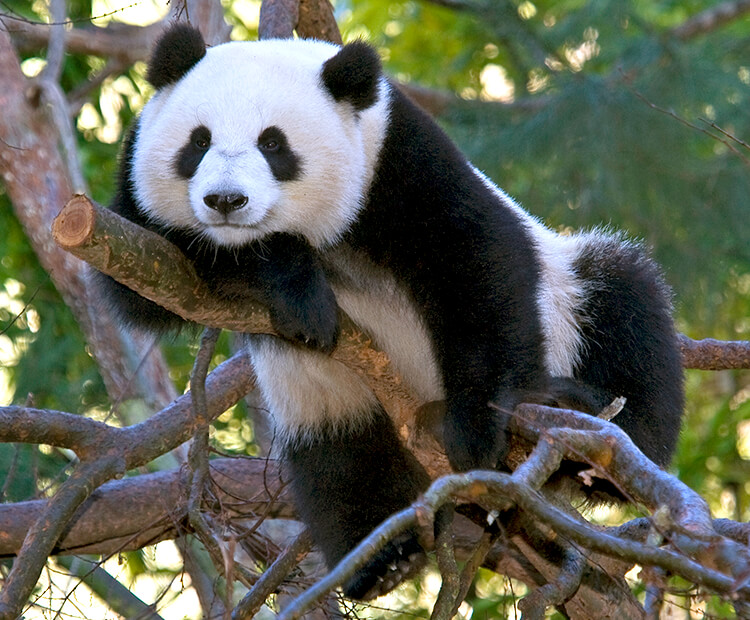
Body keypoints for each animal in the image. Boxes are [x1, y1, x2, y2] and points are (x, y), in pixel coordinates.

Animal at [98, 24, 688, 600]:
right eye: (198, 142)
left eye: (273, 143)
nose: (225, 201)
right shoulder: (137, 211)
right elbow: (143, 278)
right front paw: (299, 292)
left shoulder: (397, 161)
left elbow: (478, 264)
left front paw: (479, 430)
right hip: (334, 403)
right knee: (342, 459)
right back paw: (381, 559)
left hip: (571, 298)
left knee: (623, 304)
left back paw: (591, 428)